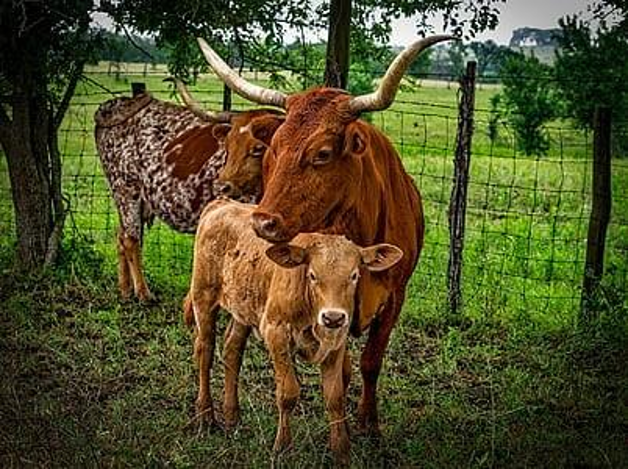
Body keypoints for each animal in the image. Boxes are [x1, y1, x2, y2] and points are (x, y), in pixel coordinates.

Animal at [186, 198, 402, 464]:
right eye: (312, 275)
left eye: (354, 275)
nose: (333, 317)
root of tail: (222, 204)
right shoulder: (276, 333)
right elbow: (288, 393)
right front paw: (282, 447)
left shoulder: (336, 343)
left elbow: (335, 398)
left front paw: (341, 452)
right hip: (203, 296)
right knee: (205, 352)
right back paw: (206, 416)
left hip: (243, 308)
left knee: (232, 351)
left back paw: (232, 416)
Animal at [196, 34, 456, 434]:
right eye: (272, 150)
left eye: (321, 153)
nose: (262, 222)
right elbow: (345, 370)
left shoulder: (396, 295)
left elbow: (371, 362)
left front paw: (369, 424)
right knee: (209, 343)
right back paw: (207, 414)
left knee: (231, 342)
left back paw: (231, 412)